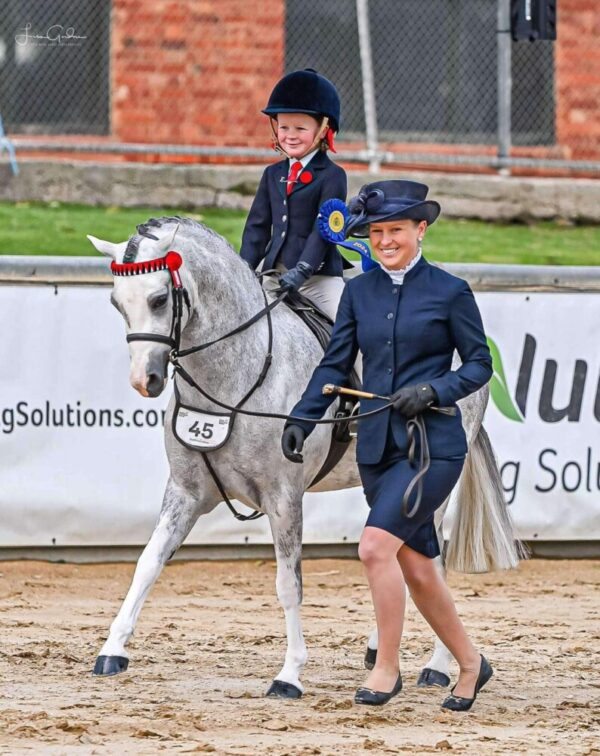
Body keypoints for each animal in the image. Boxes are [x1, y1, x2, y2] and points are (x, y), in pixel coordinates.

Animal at [86, 216, 516, 700]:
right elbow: (148, 562)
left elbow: (288, 585)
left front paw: (289, 674)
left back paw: (439, 667)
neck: (235, 377)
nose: (146, 380)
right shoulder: (185, 492)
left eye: (159, 299)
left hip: (428, 488)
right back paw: (380, 650)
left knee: (433, 563)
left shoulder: (283, 498)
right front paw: (112, 650)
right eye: (117, 303)